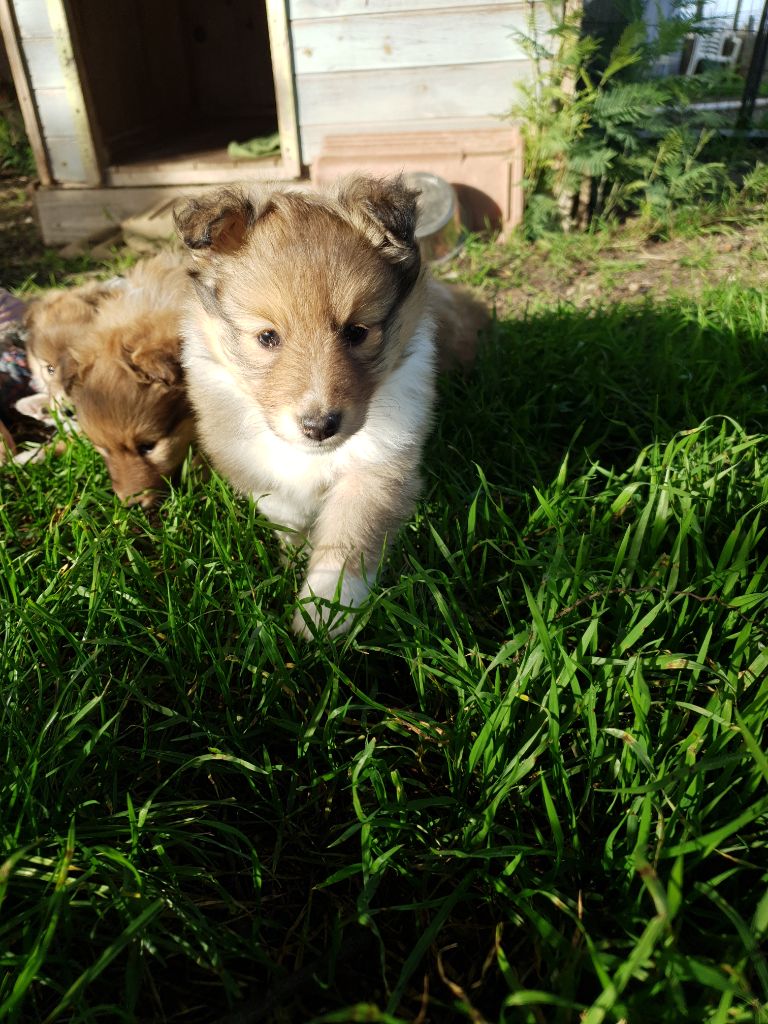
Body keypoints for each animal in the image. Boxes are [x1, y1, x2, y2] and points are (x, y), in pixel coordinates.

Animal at [175, 178, 487, 638]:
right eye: (267, 337)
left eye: (356, 332)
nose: (320, 426)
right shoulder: (249, 458)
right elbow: (285, 508)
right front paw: (295, 554)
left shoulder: (378, 465)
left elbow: (349, 536)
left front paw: (324, 613)